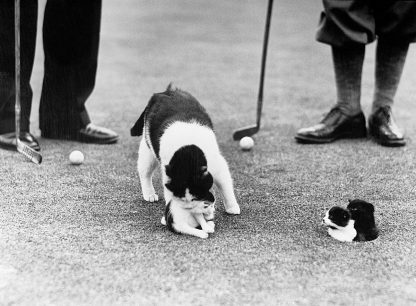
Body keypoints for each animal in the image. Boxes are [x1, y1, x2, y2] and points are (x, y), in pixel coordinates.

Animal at [130, 83, 240, 237]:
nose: (190, 209)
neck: (188, 157)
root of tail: (165, 92)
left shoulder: (218, 166)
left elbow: (226, 186)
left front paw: (232, 207)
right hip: (148, 146)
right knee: (144, 172)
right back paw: (149, 194)